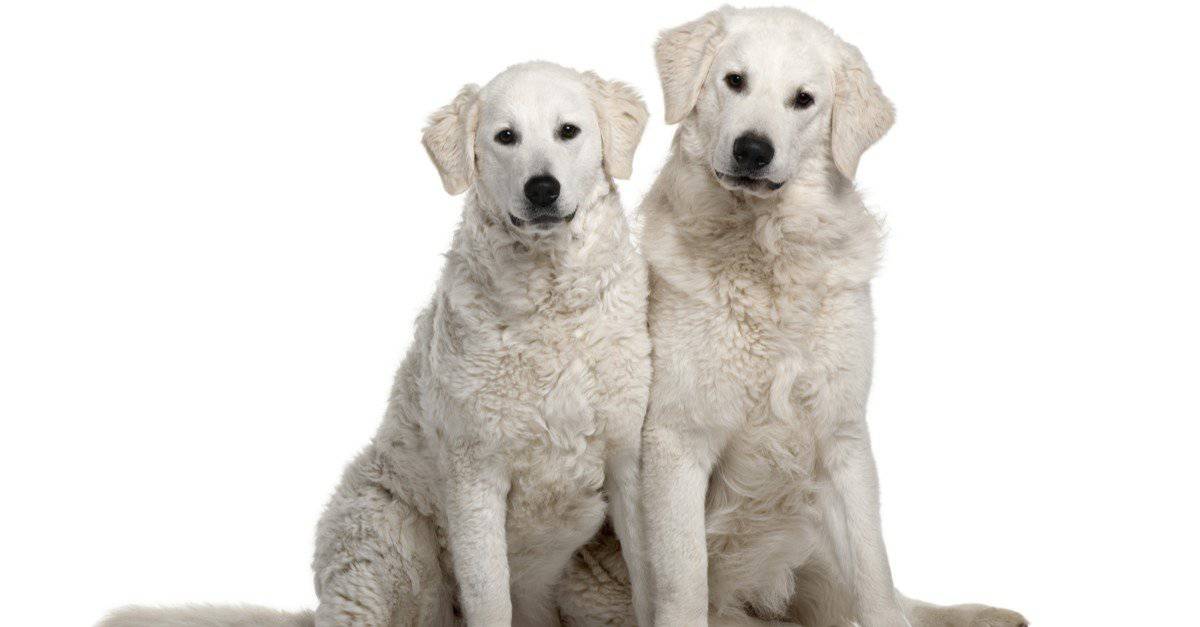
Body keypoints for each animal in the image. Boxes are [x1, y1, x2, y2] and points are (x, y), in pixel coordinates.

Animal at [100, 59, 657, 624]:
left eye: (568, 131)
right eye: (506, 137)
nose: (541, 188)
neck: (549, 301)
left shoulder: (627, 462)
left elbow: (652, 579)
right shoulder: (475, 476)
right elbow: (488, 597)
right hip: (385, 544)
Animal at [638, 8, 1032, 624]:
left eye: (803, 100)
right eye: (734, 81)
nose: (753, 149)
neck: (767, 255)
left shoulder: (842, 436)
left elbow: (876, 578)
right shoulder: (678, 438)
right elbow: (683, 583)